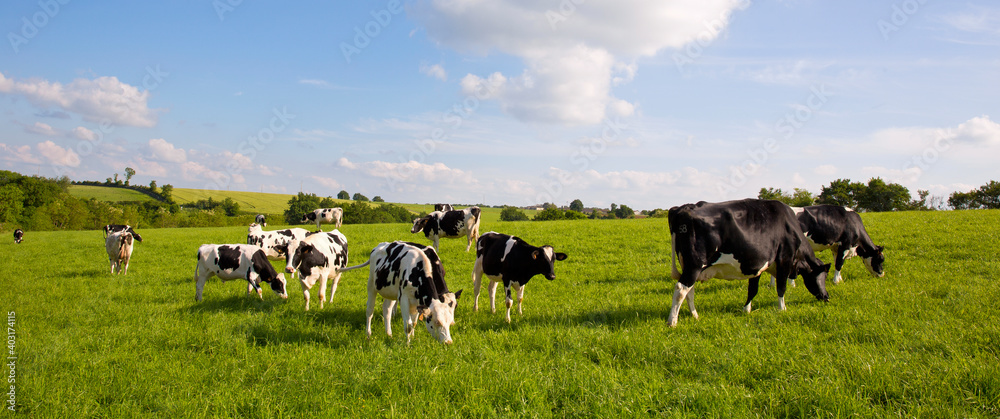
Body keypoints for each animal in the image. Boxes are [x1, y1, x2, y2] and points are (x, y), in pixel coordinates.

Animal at [667, 199, 830, 327]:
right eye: (822, 277)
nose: (826, 296)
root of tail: (685, 207)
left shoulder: (756, 265)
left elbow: (753, 289)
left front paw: (746, 310)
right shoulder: (785, 258)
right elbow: (781, 287)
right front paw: (782, 309)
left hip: (689, 266)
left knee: (689, 290)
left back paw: (695, 315)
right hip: (695, 265)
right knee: (681, 289)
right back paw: (672, 321)